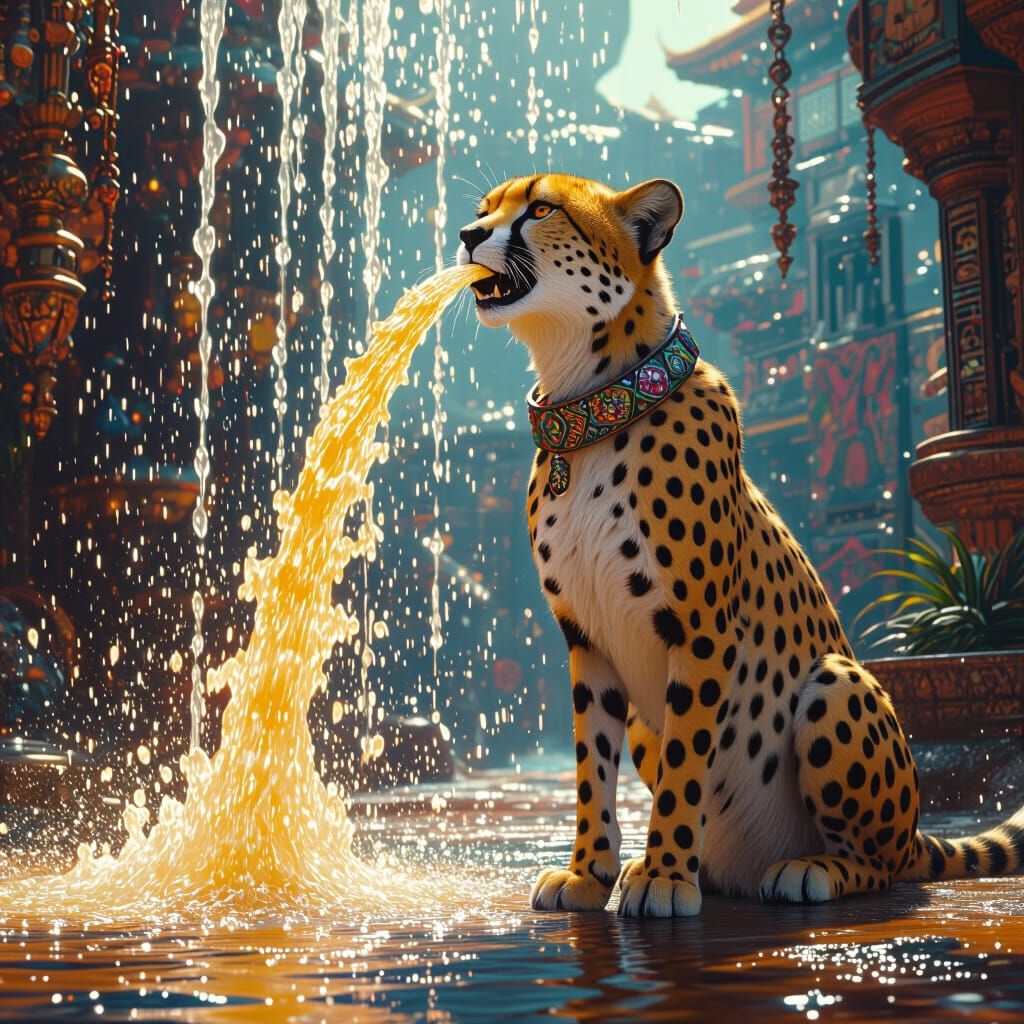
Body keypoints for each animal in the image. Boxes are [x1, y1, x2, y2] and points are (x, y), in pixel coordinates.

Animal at [456, 172, 1024, 917]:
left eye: (541, 209)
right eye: (483, 209)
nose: (466, 235)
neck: (586, 408)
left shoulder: (701, 631)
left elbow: (685, 766)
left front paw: (666, 877)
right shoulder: (588, 640)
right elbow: (590, 771)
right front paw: (589, 873)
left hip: (838, 684)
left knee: (883, 863)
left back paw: (811, 869)